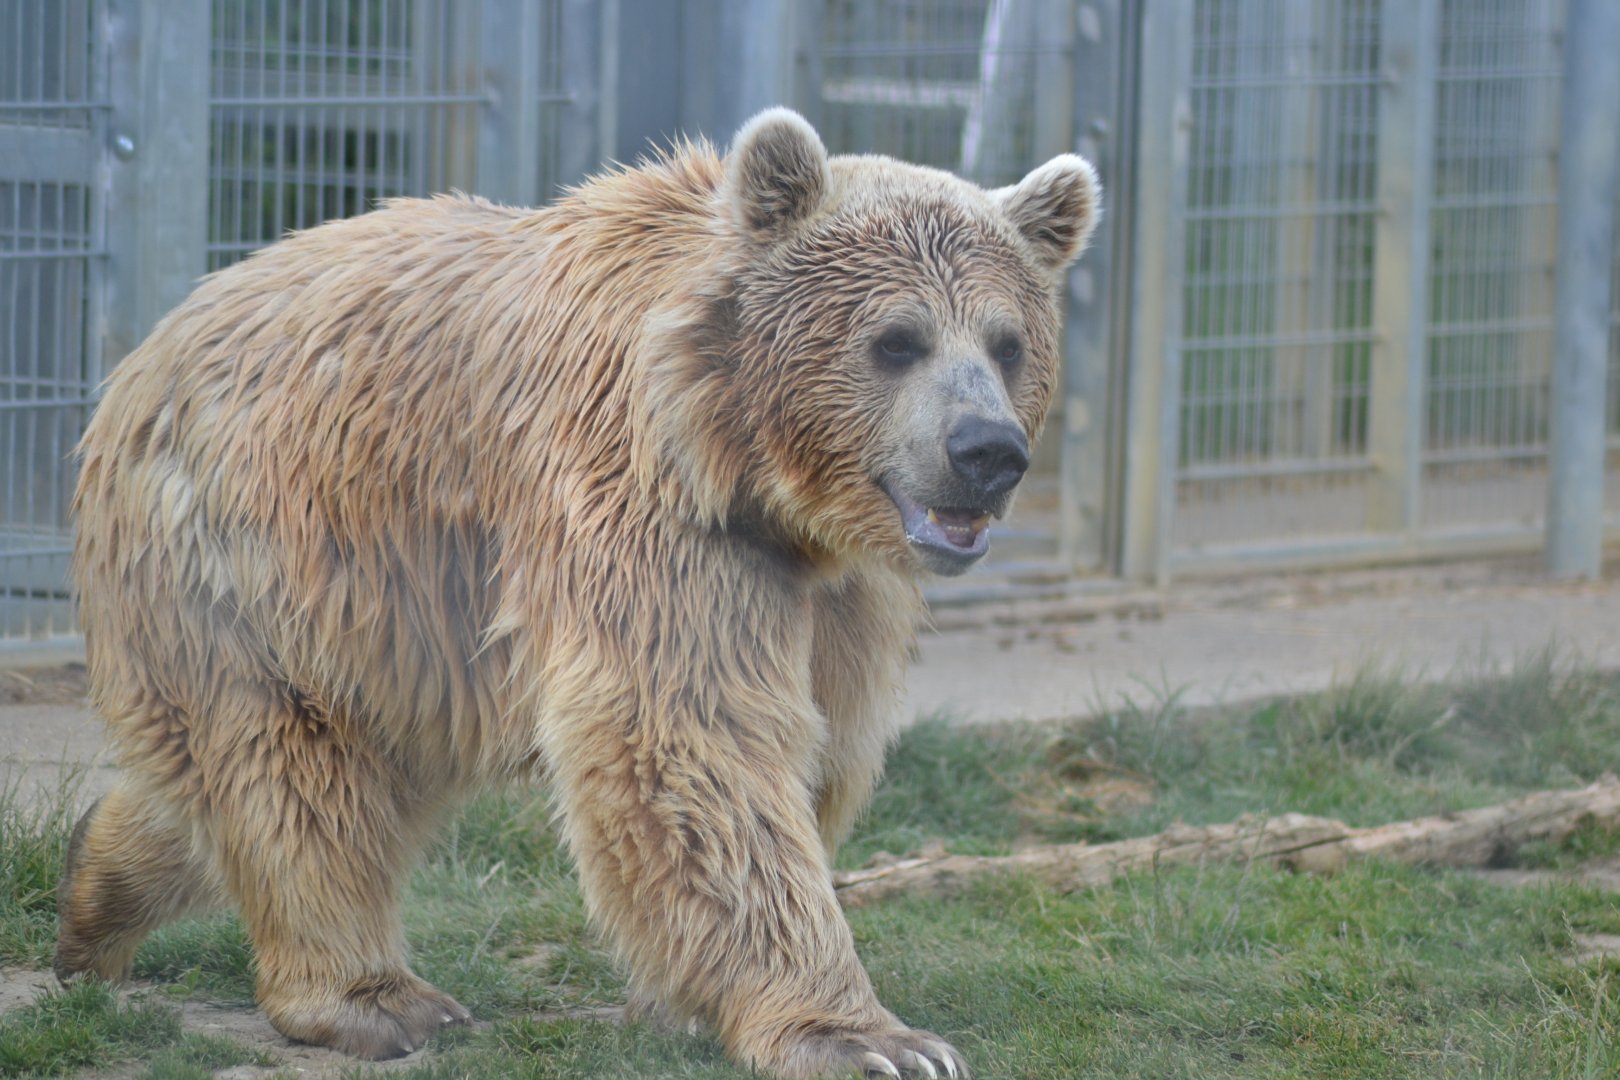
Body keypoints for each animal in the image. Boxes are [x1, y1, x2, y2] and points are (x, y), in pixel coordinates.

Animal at [57, 108, 1099, 1078]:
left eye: (1008, 343)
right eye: (897, 340)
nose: (987, 451)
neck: (744, 464)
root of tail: (146, 349)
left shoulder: (838, 592)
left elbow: (819, 740)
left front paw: (690, 995)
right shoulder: (636, 502)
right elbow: (690, 736)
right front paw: (869, 1038)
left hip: (394, 628)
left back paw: (91, 894)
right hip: (264, 552)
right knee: (297, 765)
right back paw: (374, 999)